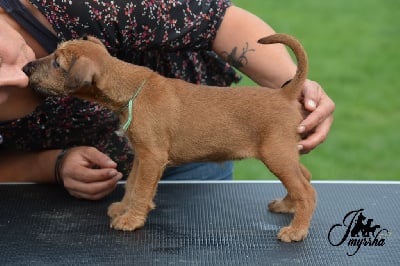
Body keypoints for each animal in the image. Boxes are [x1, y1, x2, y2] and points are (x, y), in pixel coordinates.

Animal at [24, 33, 316, 243]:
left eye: (57, 63)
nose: (27, 67)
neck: (131, 90)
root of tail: (286, 93)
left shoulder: (152, 157)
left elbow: (141, 190)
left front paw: (131, 220)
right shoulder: (142, 155)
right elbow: (133, 185)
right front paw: (124, 208)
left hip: (275, 155)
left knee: (307, 191)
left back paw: (296, 231)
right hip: (284, 154)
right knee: (305, 178)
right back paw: (286, 206)